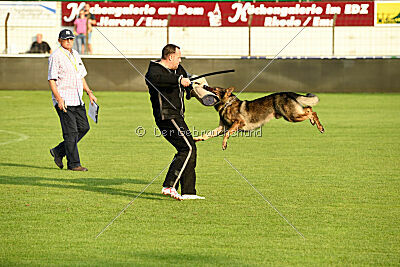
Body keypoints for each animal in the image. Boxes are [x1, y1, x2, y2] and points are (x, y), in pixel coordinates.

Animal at [192, 85, 324, 151]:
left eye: (214, 89)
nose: (205, 85)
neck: (226, 104)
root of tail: (289, 93)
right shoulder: (221, 127)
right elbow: (206, 135)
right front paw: (195, 139)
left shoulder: (237, 123)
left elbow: (227, 134)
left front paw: (224, 145)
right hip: (293, 114)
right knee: (309, 108)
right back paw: (314, 123)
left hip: (291, 116)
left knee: (312, 112)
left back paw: (320, 127)